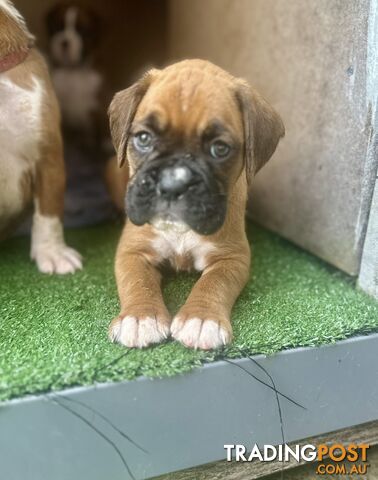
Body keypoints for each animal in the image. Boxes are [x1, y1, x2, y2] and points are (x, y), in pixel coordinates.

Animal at [106, 61, 284, 352]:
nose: (172, 183)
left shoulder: (232, 257)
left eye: (220, 149)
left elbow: (214, 283)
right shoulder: (133, 252)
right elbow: (138, 281)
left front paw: (201, 320)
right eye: (143, 138)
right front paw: (140, 318)